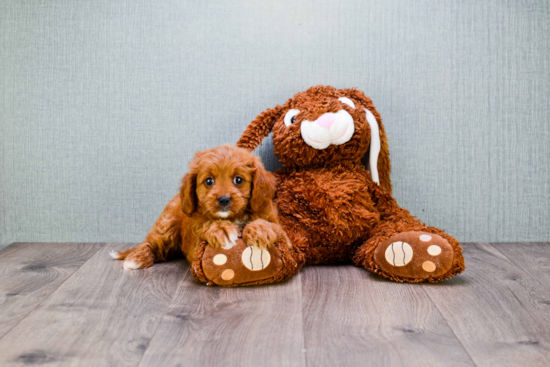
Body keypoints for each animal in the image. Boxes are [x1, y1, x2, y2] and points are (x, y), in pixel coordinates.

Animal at [110, 144, 286, 270]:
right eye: (209, 181)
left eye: (238, 180)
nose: (223, 199)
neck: (232, 217)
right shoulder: (195, 247)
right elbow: (206, 225)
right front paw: (221, 229)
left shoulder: (283, 235)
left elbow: (272, 226)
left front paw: (260, 230)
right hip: (167, 226)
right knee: (152, 243)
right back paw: (135, 259)